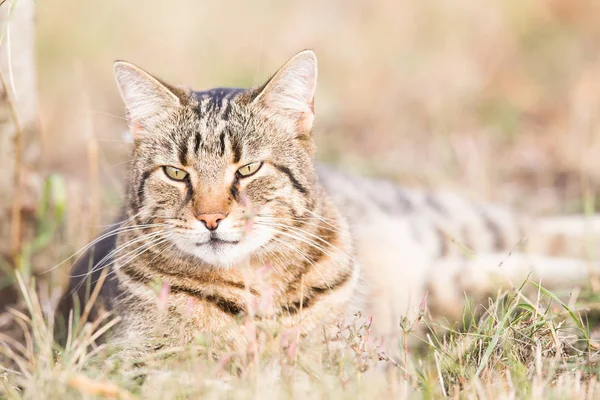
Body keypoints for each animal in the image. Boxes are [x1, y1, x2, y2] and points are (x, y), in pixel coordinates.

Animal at [58, 49, 596, 356]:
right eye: (176, 173)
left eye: (248, 169)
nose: (211, 217)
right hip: (454, 279)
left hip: (452, 222)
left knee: (537, 230)